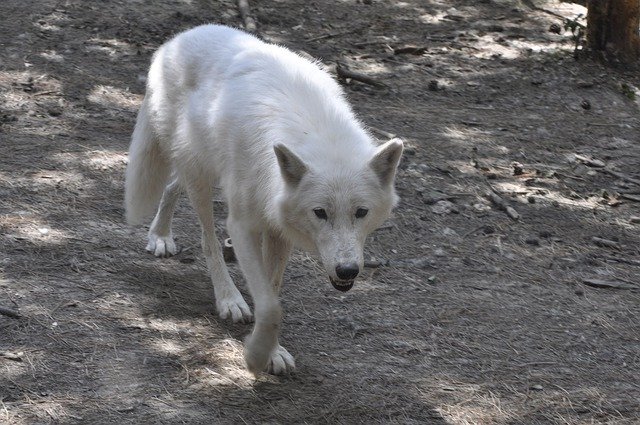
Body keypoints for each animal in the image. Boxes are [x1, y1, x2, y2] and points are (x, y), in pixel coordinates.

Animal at [125, 24, 402, 374]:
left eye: (361, 212)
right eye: (320, 212)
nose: (348, 271)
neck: (316, 132)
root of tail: (179, 38)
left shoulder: (278, 229)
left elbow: (272, 291)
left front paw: (273, 352)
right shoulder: (242, 226)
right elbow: (271, 306)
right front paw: (256, 355)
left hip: (199, 168)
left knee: (174, 185)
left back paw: (160, 234)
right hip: (200, 175)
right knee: (207, 239)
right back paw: (226, 296)